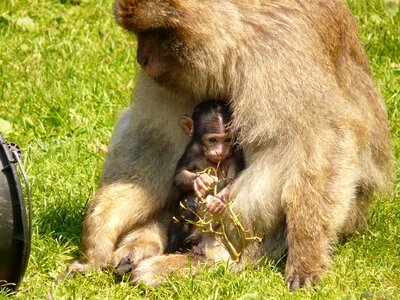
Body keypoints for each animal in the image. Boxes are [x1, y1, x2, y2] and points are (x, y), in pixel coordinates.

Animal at [167, 99, 245, 252]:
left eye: (227, 140)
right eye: (213, 140)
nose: (221, 151)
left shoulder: (236, 153)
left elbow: (234, 180)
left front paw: (218, 201)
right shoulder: (192, 149)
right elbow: (179, 175)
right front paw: (200, 180)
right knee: (189, 200)